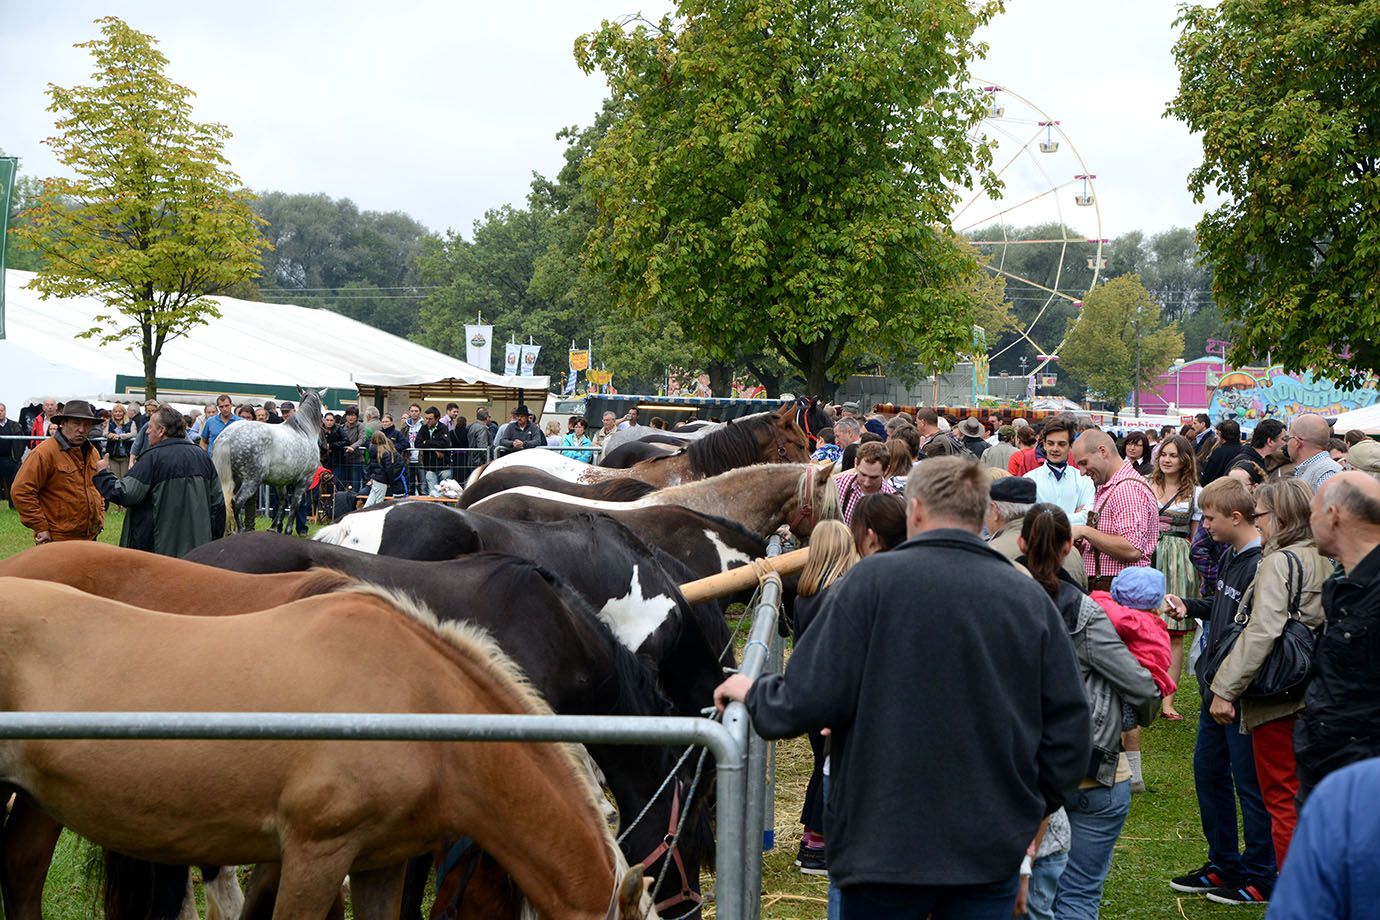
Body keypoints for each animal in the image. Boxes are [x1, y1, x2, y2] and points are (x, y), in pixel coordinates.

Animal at [211, 386, 324, 532]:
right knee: (237, 501)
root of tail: (228, 436)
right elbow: (294, 505)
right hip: (252, 480)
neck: (304, 430)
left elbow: (283, 502)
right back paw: (241, 530)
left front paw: (274, 527)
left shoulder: (281, 482)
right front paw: (288, 530)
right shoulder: (305, 480)